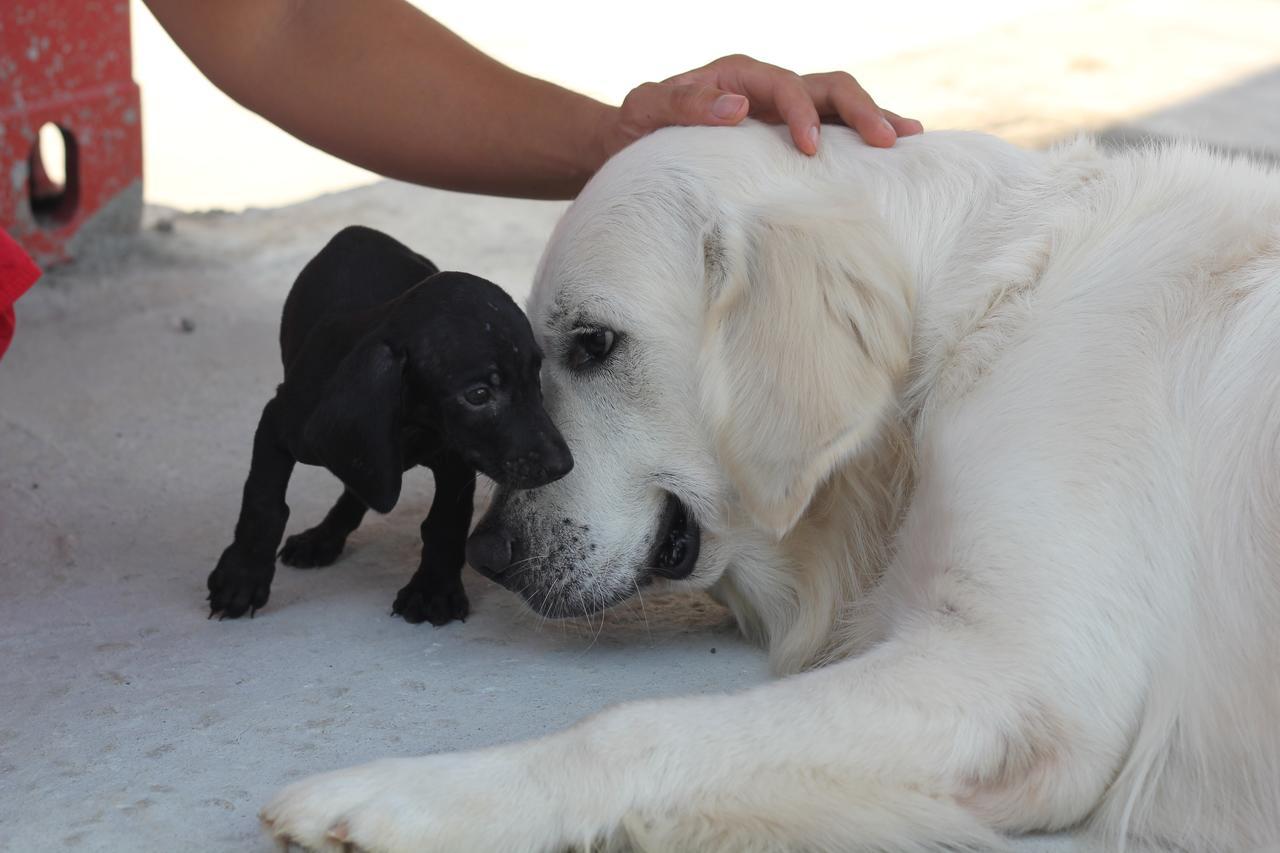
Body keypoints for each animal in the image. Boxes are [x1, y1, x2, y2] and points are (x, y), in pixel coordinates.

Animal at [207, 224, 573, 625]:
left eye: (535, 376)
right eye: (478, 394)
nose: (562, 464)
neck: (411, 423)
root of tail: (360, 230)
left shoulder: (452, 460)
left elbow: (446, 520)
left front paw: (433, 589)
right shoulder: (279, 424)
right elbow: (264, 501)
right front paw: (242, 577)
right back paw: (321, 538)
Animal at [262, 122, 1280, 845]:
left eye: (592, 344)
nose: (487, 552)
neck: (975, 313)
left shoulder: (1023, 684)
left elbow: (634, 729)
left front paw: (396, 796)